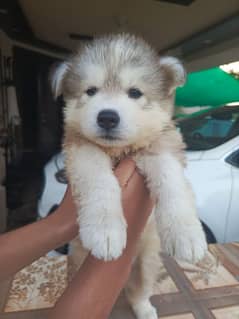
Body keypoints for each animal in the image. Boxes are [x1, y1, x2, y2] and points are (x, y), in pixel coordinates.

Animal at [51, 33, 207, 318]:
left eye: (135, 92)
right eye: (91, 91)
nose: (107, 117)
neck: (119, 150)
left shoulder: (162, 145)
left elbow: (171, 180)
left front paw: (186, 233)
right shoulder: (81, 149)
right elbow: (99, 181)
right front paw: (105, 230)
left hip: (147, 263)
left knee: (139, 292)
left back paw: (145, 310)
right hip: (77, 260)